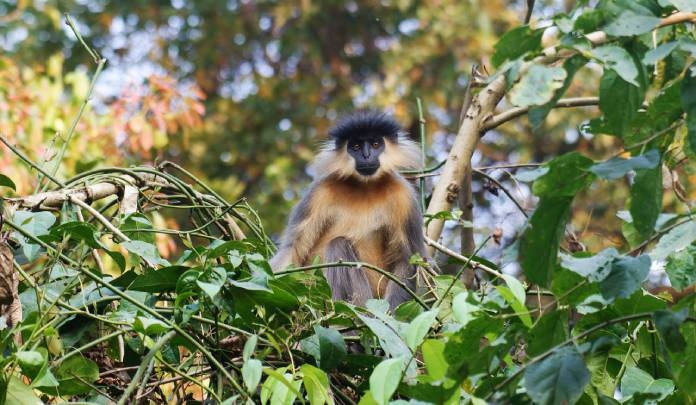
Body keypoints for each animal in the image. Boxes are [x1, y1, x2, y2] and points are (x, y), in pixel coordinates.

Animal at [270, 110, 424, 310]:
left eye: (375, 144)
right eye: (356, 146)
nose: (366, 156)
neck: (365, 187)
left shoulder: (404, 197)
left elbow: (406, 262)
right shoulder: (320, 190)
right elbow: (294, 249)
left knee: (338, 245)